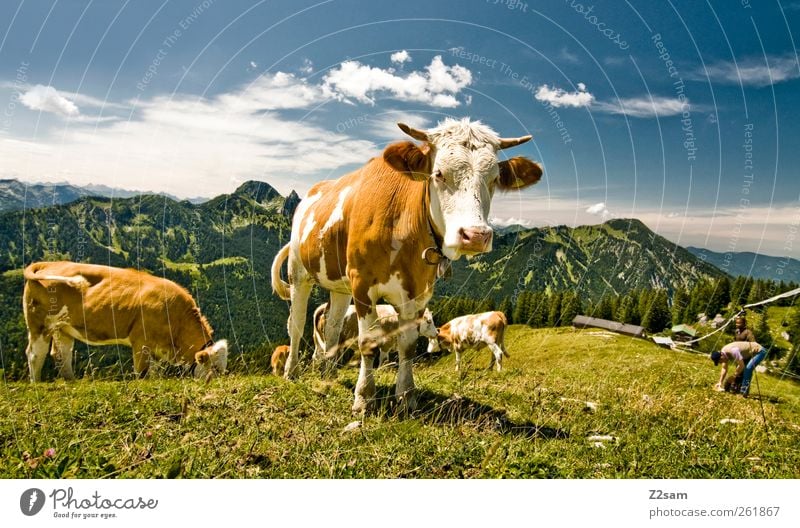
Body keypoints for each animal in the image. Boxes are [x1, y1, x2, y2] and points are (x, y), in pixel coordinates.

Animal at [21, 260, 227, 382]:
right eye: (215, 368)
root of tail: (49, 263)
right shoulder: (141, 342)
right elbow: (142, 372)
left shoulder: (158, 349)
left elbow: (155, 371)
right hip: (39, 324)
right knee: (35, 354)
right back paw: (36, 383)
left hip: (63, 328)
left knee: (61, 354)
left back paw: (71, 381)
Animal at [270, 118, 544, 412]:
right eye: (438, 174)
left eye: (494, 179)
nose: (476, 235)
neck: (401, 224)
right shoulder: (362, 284)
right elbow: (368, 342)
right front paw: (364, 397)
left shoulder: (418, 291)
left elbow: (408, 345)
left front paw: (406, 397)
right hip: (299, 272)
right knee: (296, 323)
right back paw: (291, 372)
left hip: (340, 285)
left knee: (332, 325)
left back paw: (329, 373)